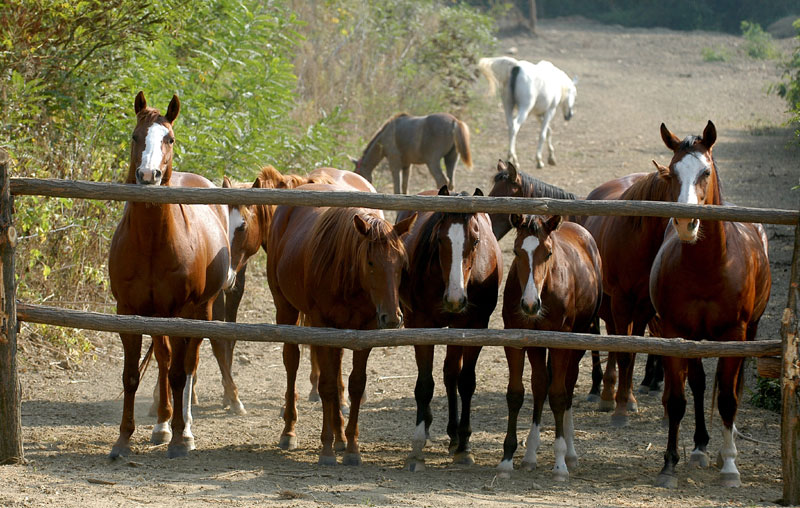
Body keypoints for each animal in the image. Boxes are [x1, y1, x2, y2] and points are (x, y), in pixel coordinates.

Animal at [106, 92, 233, 460]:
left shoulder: (180, 312)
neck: (151, 243)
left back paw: (183, 427)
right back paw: (162, 424)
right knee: (163, 359)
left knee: (189, 363)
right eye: (135, 136)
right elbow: (131, 376)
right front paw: (124, 439)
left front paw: (180, 438)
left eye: (170, 139)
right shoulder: (128, 313)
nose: (149, 174)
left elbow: (179, 373)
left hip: (201, 311)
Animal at [268, 182, 418, 464]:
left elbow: (354, 385)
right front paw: (326, 448)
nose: (392, 317)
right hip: (286, 308)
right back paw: (290, 431)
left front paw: (351, 447)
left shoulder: (365, 331)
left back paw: (340, 437)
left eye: (401, 264)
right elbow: (326, 385)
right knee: (292, 360)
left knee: (336, 371)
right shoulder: (322, 324)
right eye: (370, 262)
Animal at [398, 187, 504, 472]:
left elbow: (465, 382)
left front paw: (465, 445)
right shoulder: (420, 324)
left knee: (451, 374)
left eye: (476, 242)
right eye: (439, 241)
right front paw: (417, 447)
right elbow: (425, 384)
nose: (455, 299)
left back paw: (455, 436)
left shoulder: (474, 326)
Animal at [496, 213, 604, 480]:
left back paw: (571, 453)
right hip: (537, 345)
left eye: (548, 253)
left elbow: (558, 395)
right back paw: (530, 455)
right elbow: (516, 393)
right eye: (516, 251)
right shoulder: (516, 339)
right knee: (540, 385)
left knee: (568, 385)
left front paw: (560, 464)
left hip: (578, 337)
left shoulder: (560, 341)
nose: (530, 304)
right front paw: (507, 460)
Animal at [648, 120, 768, 488]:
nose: (686, 223)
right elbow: (677, 400)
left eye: (705, 171)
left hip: (750, 331)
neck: (708, 267)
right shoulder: (675, 332)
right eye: (672, 171)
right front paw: (669, 465)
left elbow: (728, 399)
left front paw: (730, 467)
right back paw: (700, 447)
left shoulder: (734, 334)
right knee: (699, 385)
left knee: (733, 388)